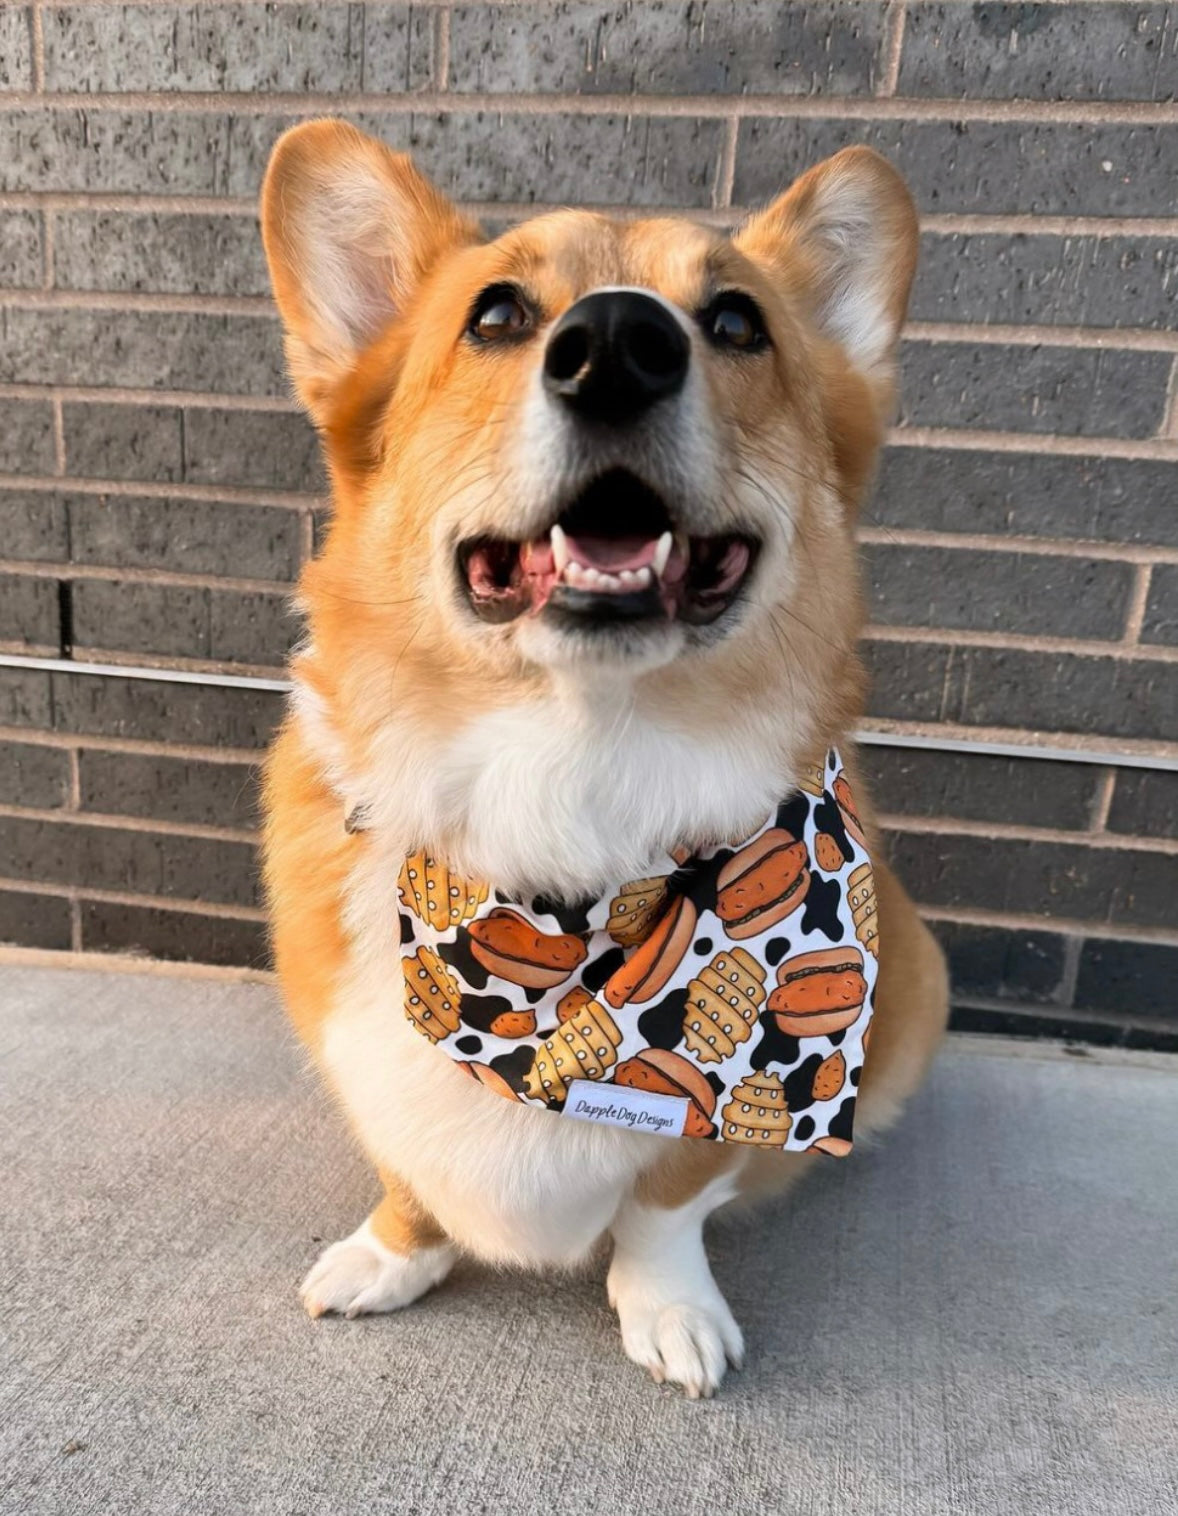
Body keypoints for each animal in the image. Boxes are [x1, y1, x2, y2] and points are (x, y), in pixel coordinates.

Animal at [257, 118, 946, 1394]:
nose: (618, 346)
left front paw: (667, 1306)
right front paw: (389, 1253)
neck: (568, 776)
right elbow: (406, 1174)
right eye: (493, 314)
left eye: (735, 321)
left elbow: (666, 1204)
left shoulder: (711, 1129)